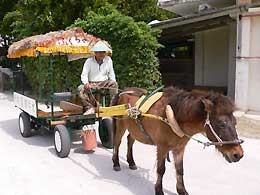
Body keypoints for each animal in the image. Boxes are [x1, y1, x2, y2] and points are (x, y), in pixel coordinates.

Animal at [111, 86, 244, 195]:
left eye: (235, 123)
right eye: (221, 124)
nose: (238, 154)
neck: (172, 116)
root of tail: (123, 91)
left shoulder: (179, 149)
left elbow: (180, 170)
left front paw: (182, 190)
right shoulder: (162, 148)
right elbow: (161, 170)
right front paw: (159, 190)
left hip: (134, 129)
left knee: (130, 140)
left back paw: (131, 162)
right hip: (120, 124)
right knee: (117, 142)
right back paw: (116, 163)